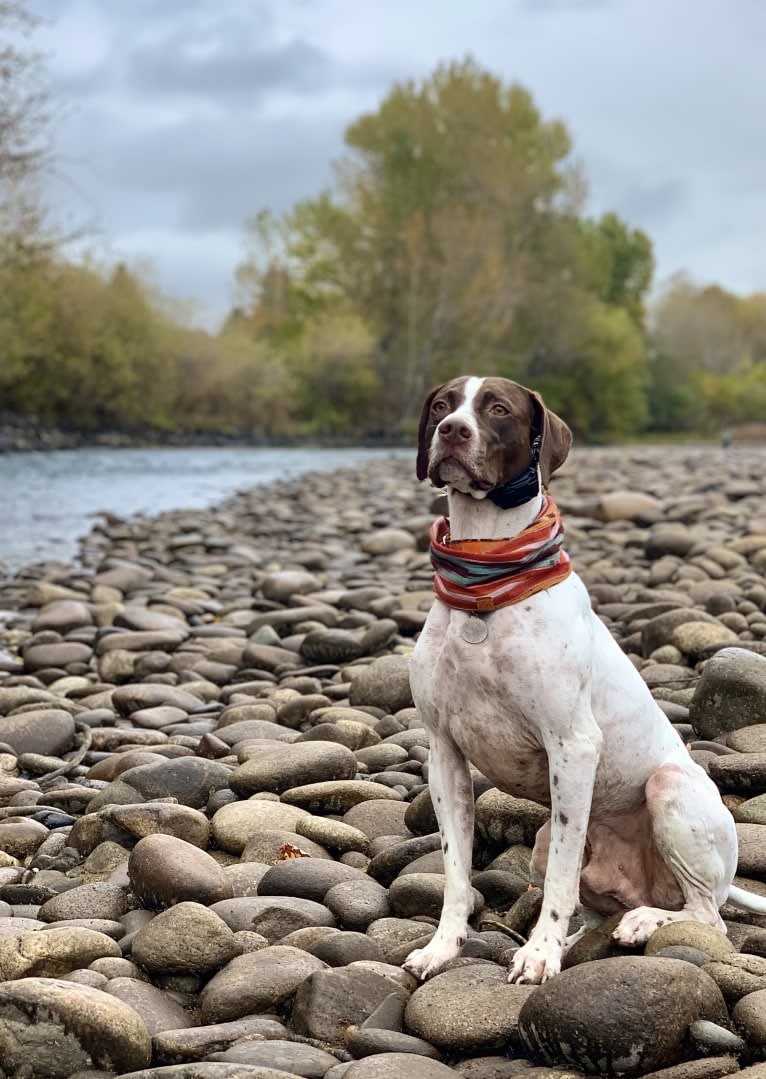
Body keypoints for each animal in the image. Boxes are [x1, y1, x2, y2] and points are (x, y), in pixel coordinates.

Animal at [401, 373, 766, 988]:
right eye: (443, 404)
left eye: (497, 409)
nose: (452, 431)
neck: (485, 584)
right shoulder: (444, 754)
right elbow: (455, 871)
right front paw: (443, 947)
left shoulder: (572, 746)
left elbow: (557, 886)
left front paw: (540, 954)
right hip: (545, 837)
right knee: (599, 909)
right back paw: (586, 937)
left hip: (669, 790)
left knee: (704, 916)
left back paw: (642, 922)